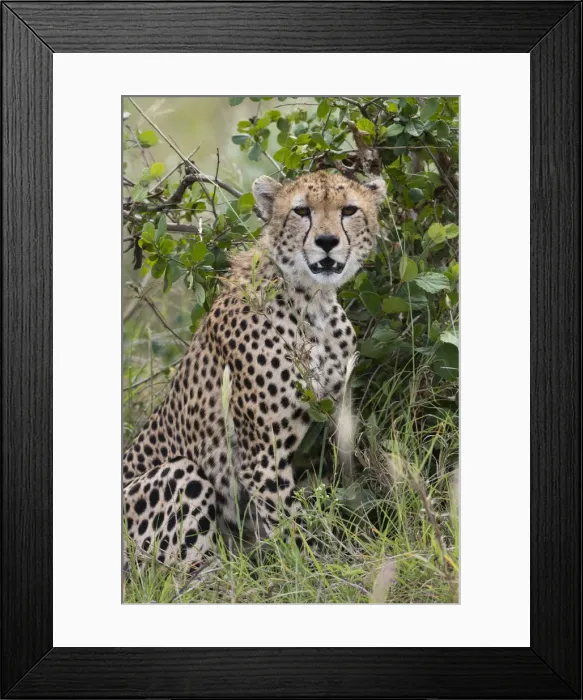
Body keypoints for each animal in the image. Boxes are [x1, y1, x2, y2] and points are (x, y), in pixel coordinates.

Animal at [123, 170, 386, 569]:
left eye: (349, 210)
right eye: (302, 211)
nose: (327, 242)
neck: (313, 303)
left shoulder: (332, 414)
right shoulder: (262, 452)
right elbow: (287, 522)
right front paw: (308, 569)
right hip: (179, 475)